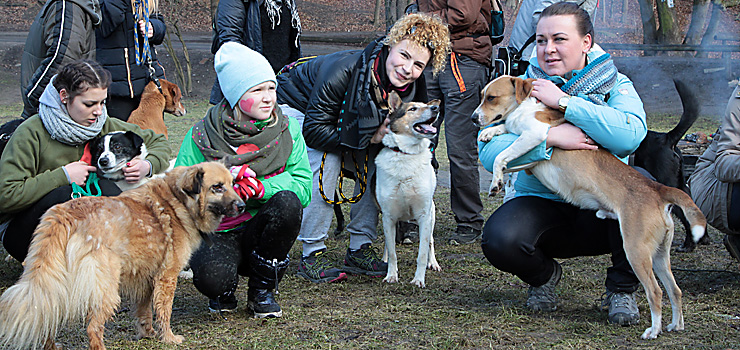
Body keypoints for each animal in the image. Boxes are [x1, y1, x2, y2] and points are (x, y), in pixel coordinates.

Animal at [0, 162, 246, 350]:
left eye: (233, 184)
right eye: (217, 187)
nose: (243, 206)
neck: (179, 201)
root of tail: (65, 214)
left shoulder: (147, 277)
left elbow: (145, 310)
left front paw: (147, 333)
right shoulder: (167, 275)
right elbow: (164, 310)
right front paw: (168, 338)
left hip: (55, 281)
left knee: (47, 313)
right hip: (106, 287)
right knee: (93, 327)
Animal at [376, 91, 440, 288]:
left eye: (426, 105)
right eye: (412, 109)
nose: (436, 108)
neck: (406, 154)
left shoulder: (424, 216)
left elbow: (422, 253)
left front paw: (418, 279)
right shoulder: (388, 216)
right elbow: (392, 251)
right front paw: (391, 275)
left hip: (432, 215)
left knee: (431, 242)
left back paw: (433, 263)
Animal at [472, 74, 708, 340]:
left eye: (492, 97)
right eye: (482, 96)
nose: (473, 118)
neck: (524, 106)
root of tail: (657, 190)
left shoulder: (535, 136)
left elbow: (501, 155)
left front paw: (496, 181)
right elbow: (504, 136)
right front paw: (490, 134)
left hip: (636, 250)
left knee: (655, 292)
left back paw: (653, 330)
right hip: (658, 255)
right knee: (674, 290)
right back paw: (675, 325)